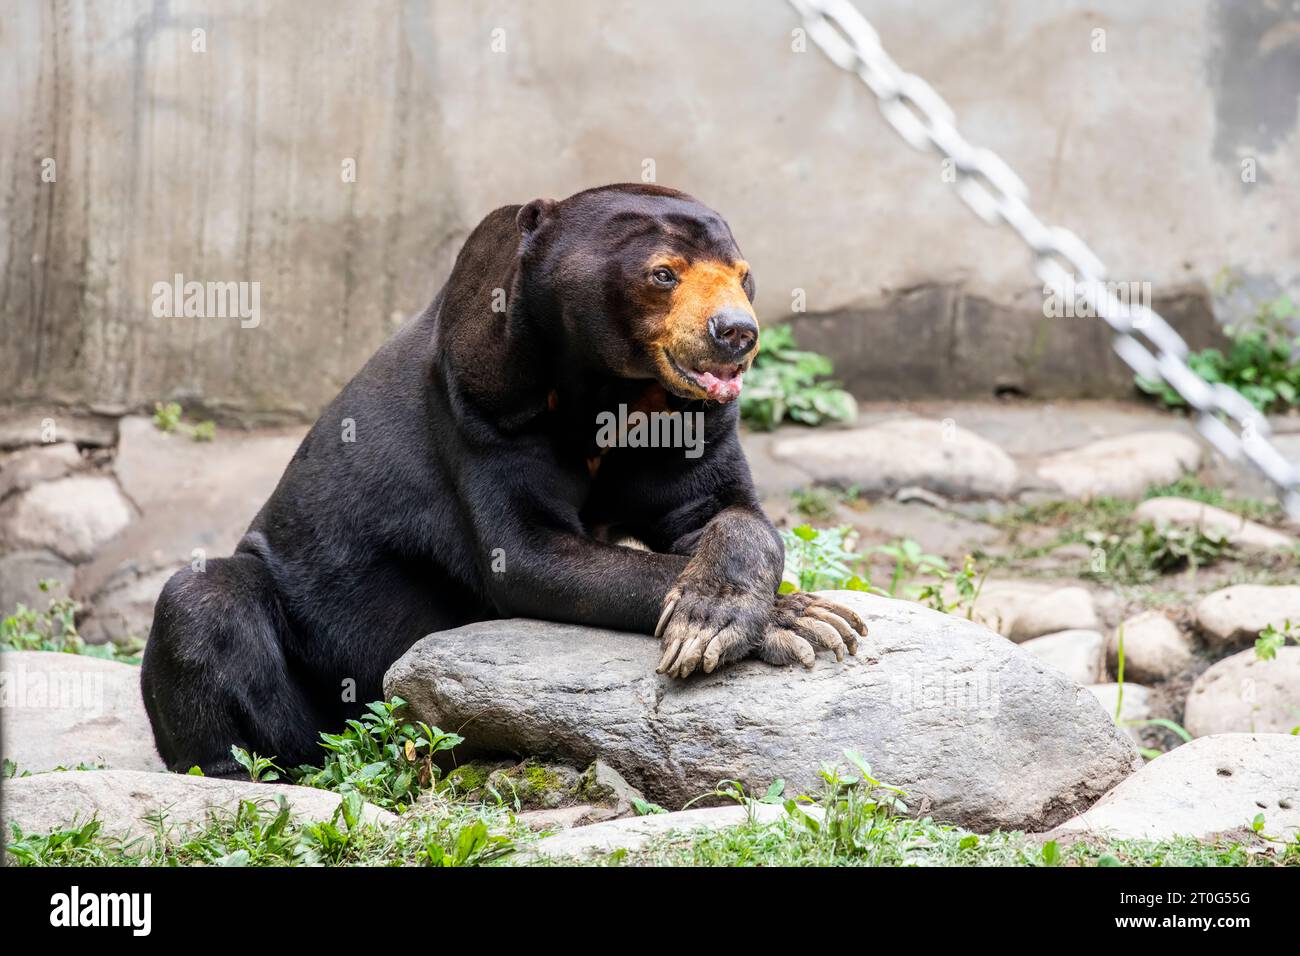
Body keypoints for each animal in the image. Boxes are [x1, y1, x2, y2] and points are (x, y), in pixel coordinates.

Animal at [140, 184, 867, 775]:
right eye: (663, 273)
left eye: (745, 277)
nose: (735, 334)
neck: (607, 387)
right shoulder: (484, 400)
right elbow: (524, 551)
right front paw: (792, 620)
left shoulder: (687, 415)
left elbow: (716, 510)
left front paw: (785, 614)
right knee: (201, 602)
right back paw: (248, 769)